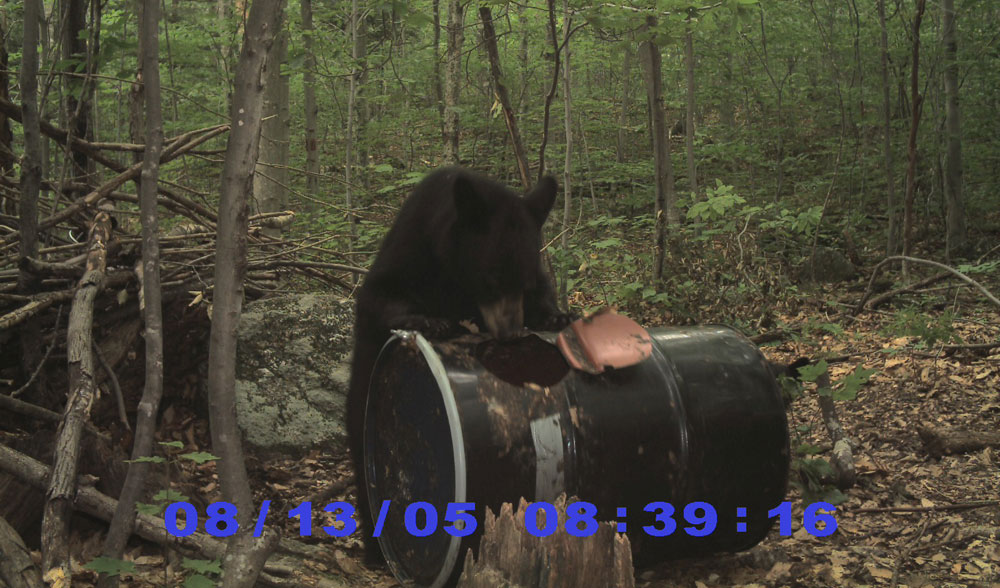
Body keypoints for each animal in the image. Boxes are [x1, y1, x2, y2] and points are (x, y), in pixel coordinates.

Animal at [348, 165, 576, 560]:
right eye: (492, 279)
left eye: (524, 282)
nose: (510, 333)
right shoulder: (412, 248)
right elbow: (381, 294)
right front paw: (429, 320)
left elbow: (544, 294)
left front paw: (556, 315)